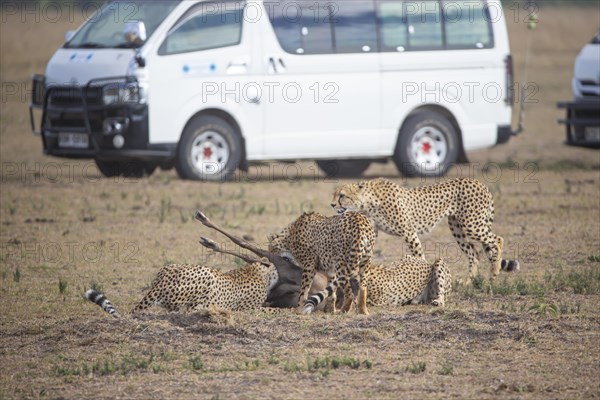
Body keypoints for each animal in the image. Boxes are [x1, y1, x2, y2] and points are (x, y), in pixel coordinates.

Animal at [330, 178, 516, 282]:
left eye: (342, 195)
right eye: (334, 194)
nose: (332, 205)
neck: (369, 201)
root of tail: (480, 183)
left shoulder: (408, 231)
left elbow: (419, 255)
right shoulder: (374, 231)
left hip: (472, 225)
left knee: (497, 239)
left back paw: (494, 271)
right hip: (457, 228)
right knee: (474, 254)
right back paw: (468, 282)